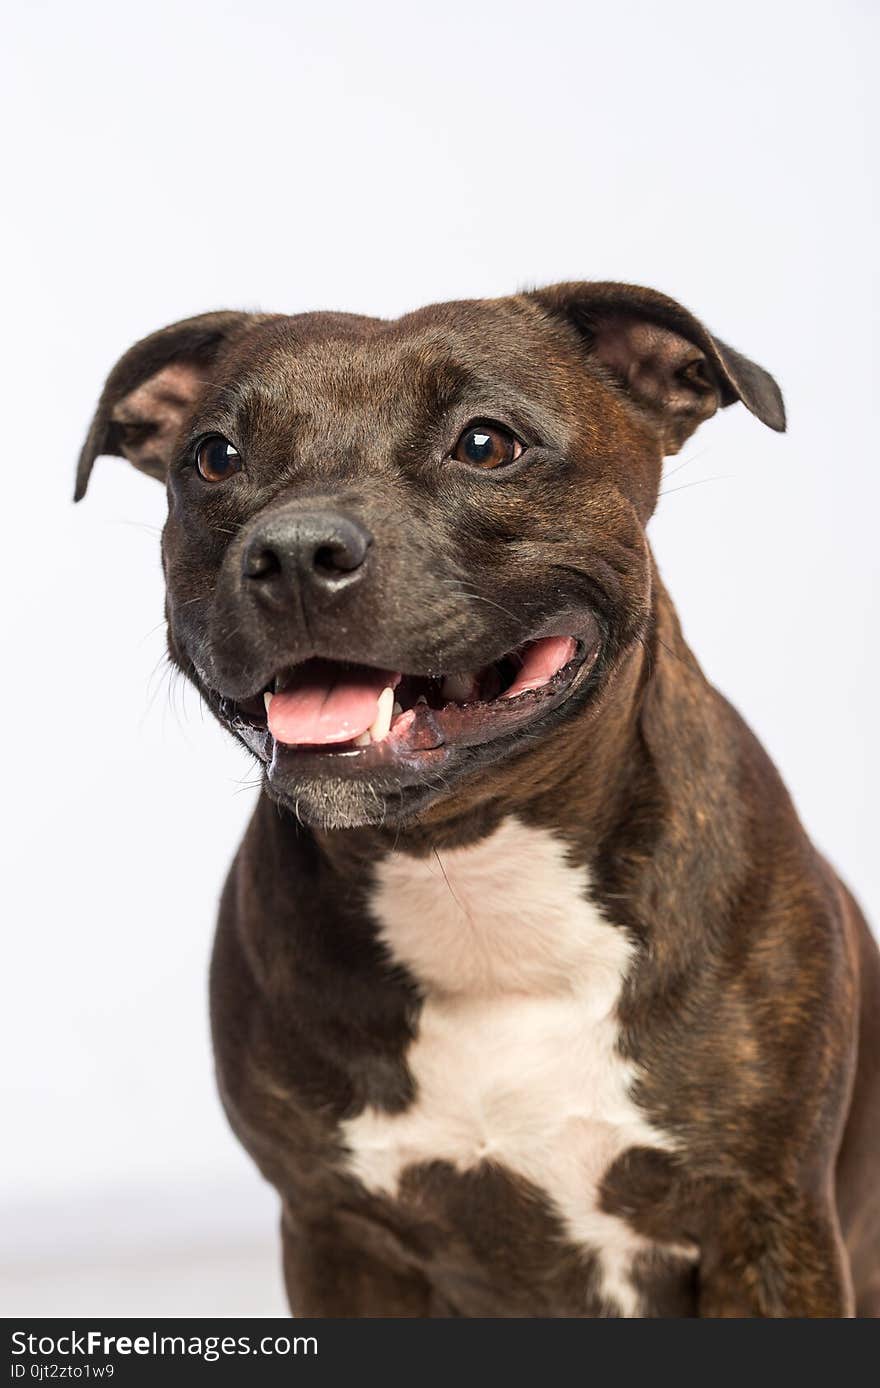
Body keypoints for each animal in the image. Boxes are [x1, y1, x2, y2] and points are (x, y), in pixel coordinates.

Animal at [77, 278, 877, 1310]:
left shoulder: (769, 1221)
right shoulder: (336, 1231)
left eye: (487, 444)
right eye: (216, 459)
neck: (472, 881)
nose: (293, 550)